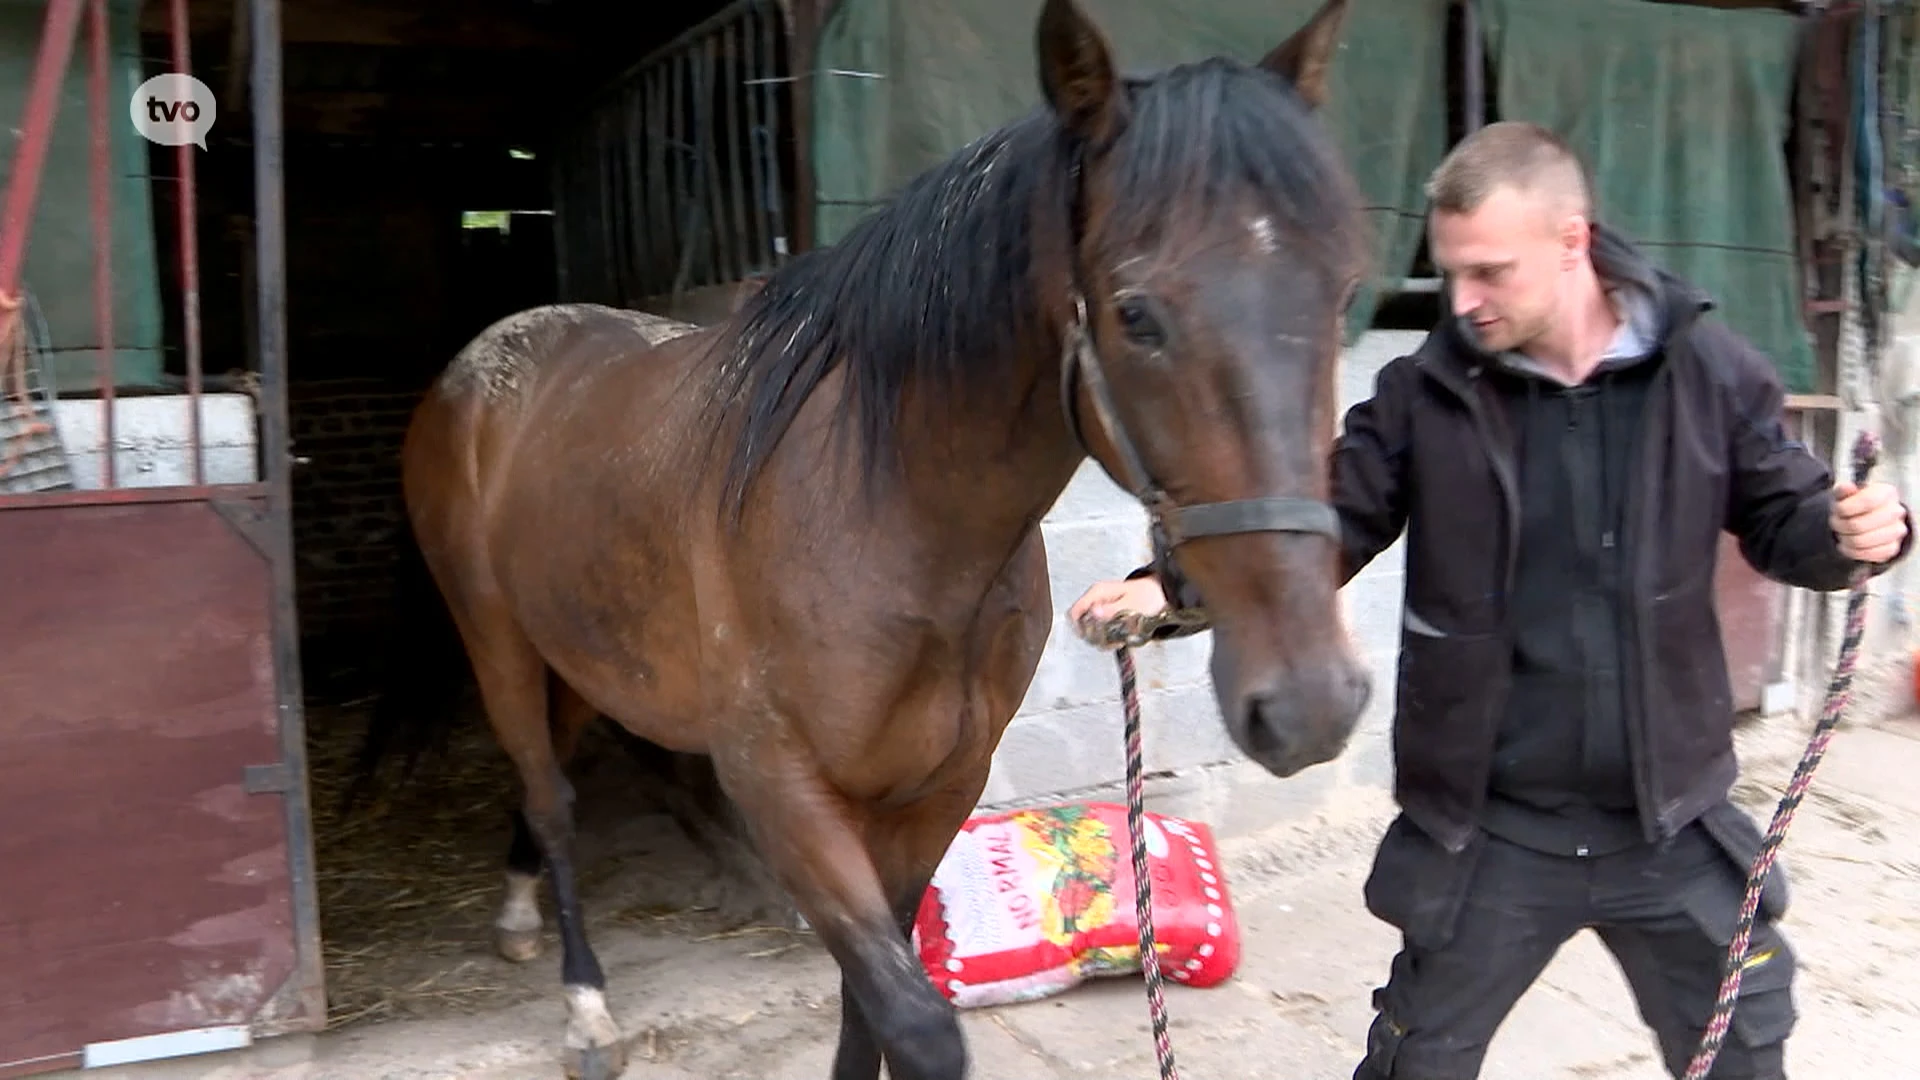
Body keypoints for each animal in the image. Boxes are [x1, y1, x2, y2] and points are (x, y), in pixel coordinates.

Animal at [362, 0, 1367, 1068]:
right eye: (1137, 315)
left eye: (1344, 295)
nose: (1312, 701)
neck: (884, 517)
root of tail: (474, 369)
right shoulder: (781, 791)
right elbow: (914, 1024)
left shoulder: (937, 791)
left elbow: (866, 1006)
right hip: (495, 638)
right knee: (552, 799)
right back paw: (584, 1002)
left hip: (584, 658)